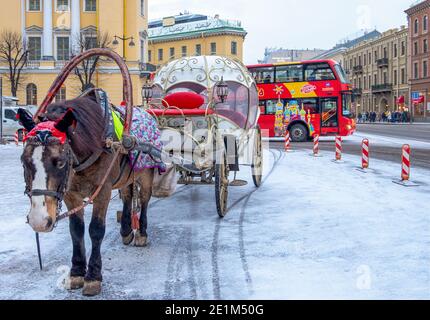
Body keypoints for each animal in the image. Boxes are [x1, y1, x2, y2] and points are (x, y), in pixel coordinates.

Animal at [19, 95, 156, 298]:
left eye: (60, 163)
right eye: (24, 161)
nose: (39, 221)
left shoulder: (103, 191)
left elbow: (96, 230)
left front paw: (93, 276)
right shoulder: (70, 194)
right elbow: (76, 229)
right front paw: (76, 272)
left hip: (146, 173)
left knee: (145, 199)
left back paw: (142, 233)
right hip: (126, 175)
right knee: (127, 196)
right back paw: (125, 230)